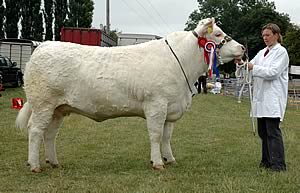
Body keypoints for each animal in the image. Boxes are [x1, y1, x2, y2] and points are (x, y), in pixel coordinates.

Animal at [16, 17, 244, 172]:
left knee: (50, 134)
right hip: (43, 104)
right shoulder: (156, 105)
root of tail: (44, 45)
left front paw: (170, 159)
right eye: (218, 34)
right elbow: (155, 135)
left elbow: (167, 136)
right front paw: (157, 163)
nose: (242, 47)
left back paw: (54, 162)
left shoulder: (171, 108)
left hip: (59, 109)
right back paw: (34, 165)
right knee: (35, 130)